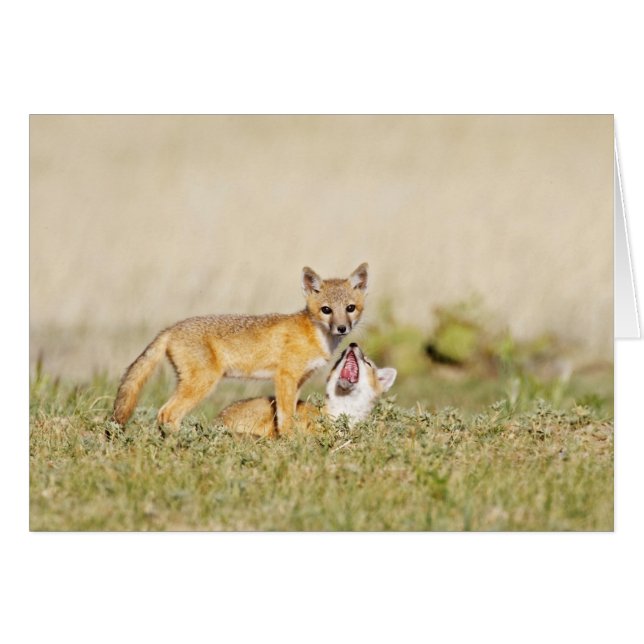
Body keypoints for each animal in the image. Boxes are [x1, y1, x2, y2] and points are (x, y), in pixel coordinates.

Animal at [112, 263, 369, 435]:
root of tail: (170, 329)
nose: (342, 328)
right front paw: (289, 442)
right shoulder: (284, 377)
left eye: (350, 308)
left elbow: (290, 413)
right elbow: (285, 417)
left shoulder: (298, 381)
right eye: (326, 310)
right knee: (167, 414)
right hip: (202, 383)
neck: (315, 336)